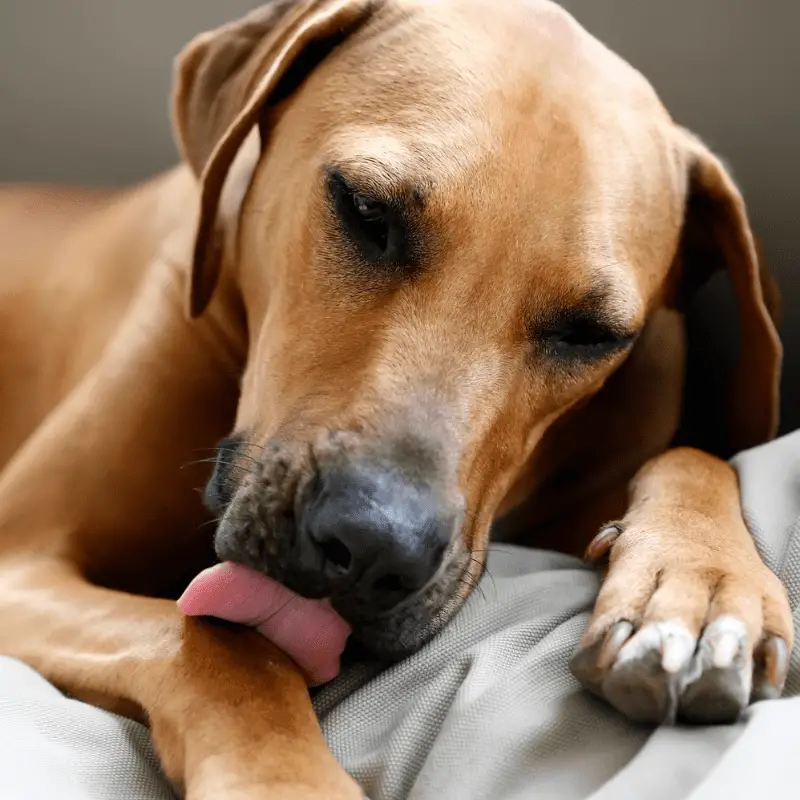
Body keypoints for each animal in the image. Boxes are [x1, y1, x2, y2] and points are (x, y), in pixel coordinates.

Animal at [0, 0, 792, 796]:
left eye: (591, 333)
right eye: (364, 210)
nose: (375, 548)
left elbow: (694, 457)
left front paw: (699, 591)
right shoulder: (22, 558)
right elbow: (226, 645)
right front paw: (284, 778)